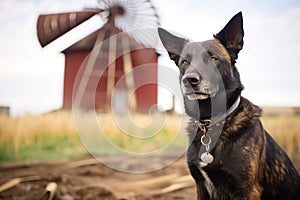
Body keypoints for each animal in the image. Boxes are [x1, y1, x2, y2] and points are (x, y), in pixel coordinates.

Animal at [158, 11, 298, 199]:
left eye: (212, 58)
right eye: (185, 62)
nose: (189, 80)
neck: (211, 123)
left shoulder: (247, 191)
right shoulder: (200, 186)